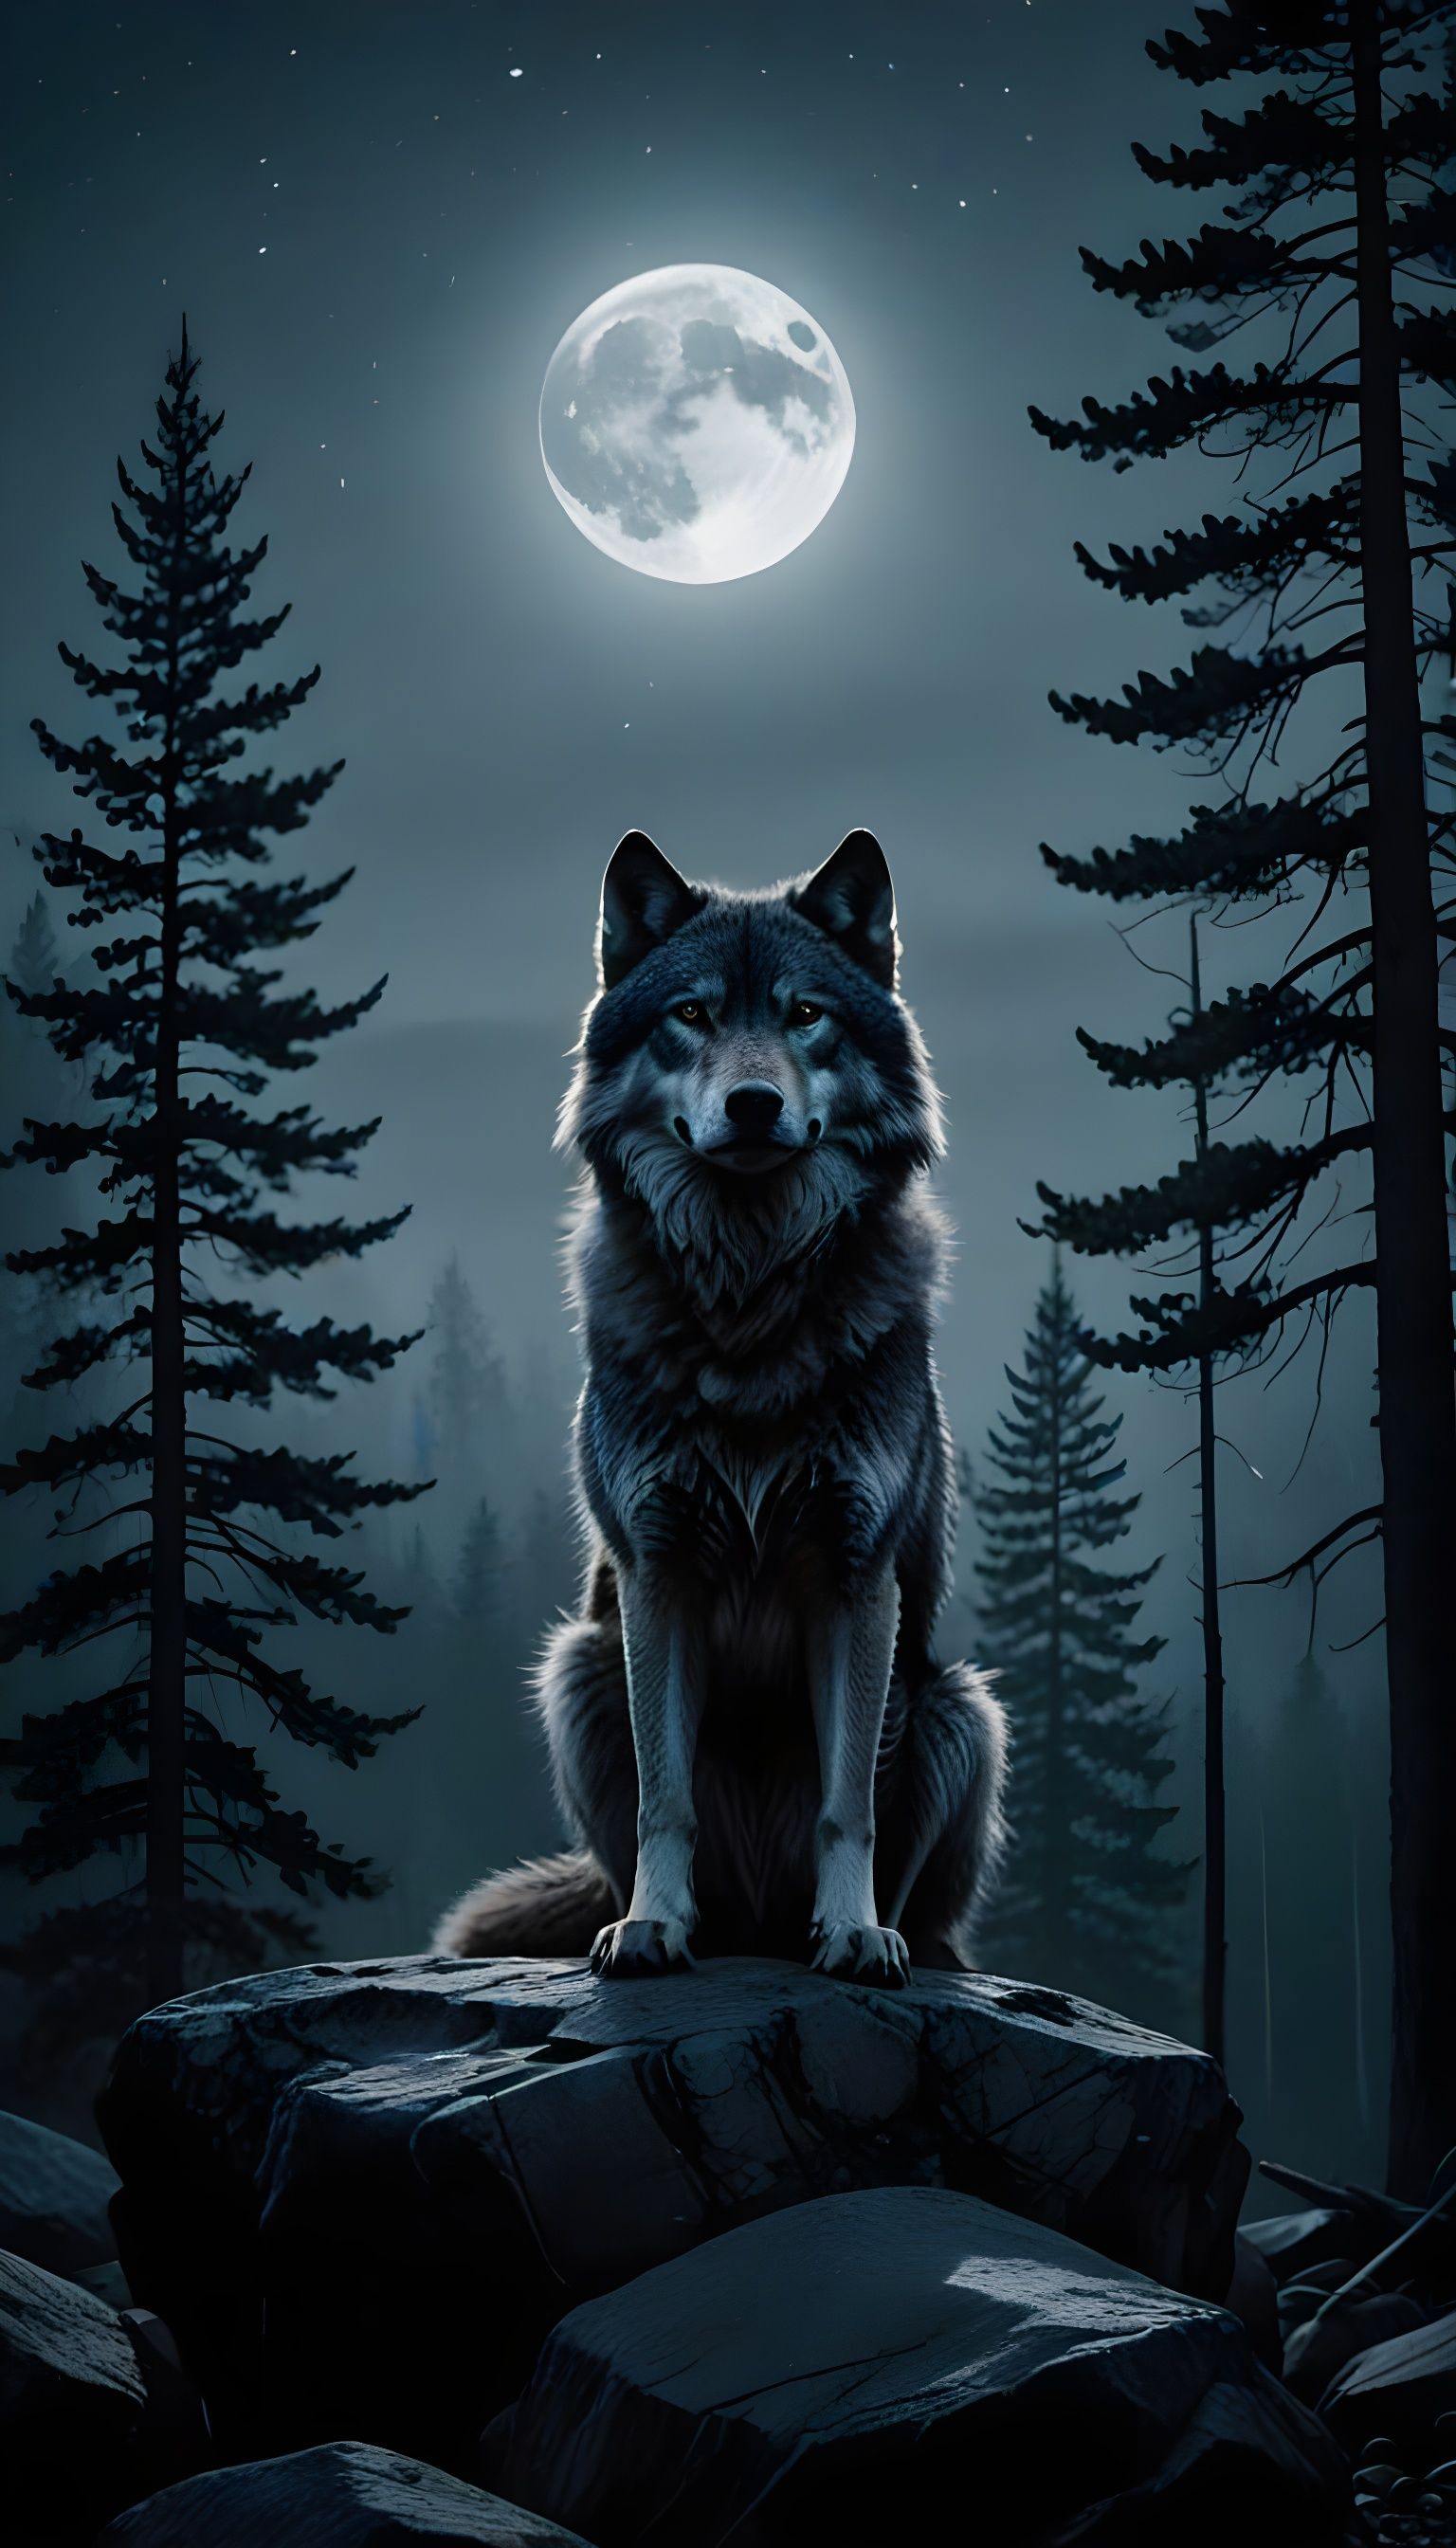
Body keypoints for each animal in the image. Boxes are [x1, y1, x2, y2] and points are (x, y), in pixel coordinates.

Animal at [436, 828, 1007, 1985]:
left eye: (805, 1014)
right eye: (692, 1014)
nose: (752, 1105)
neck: (749, 1312)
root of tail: (756, 1923)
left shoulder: (857, 1579)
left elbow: (846, 1806)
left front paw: (852, 1932)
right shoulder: (657, 1576)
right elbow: (668, 1801)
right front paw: (652, 1925)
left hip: (961, 1709)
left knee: (927, 1905)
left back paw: (888, 1942)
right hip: (577, 1671)